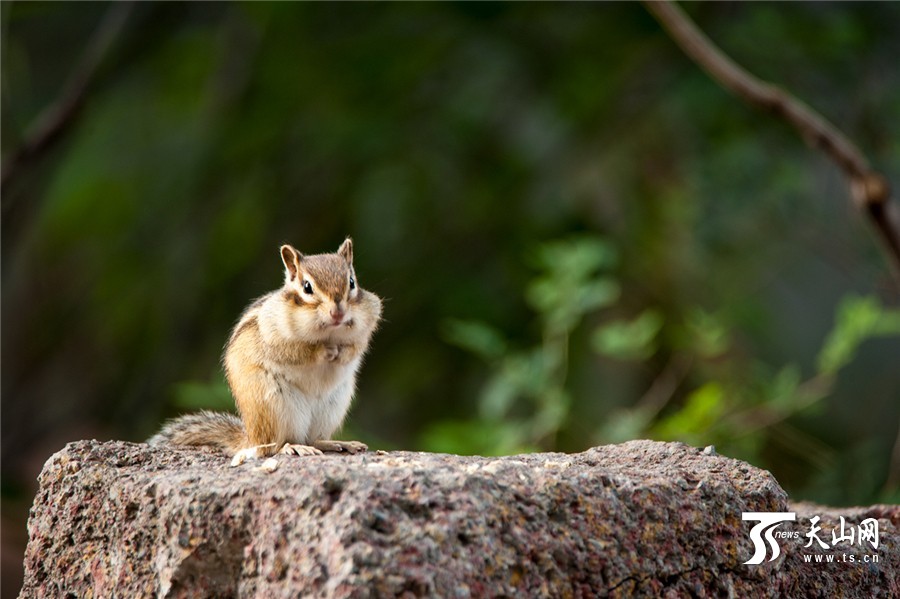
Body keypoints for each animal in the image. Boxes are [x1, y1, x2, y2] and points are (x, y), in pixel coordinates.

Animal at [149, 238, 382, 466]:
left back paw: (338, 443)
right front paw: (324, 351)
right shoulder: (273, 331)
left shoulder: (368, 320)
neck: (330, 332)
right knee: (273, 447)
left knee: (313, 439)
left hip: (334, 405)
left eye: (351, 282)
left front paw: (344, 353)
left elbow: (358, 346)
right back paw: (293, 447)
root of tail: (251, 438)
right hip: (274, 407)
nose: (338, 313)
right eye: (307, 287)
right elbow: (296, 351)